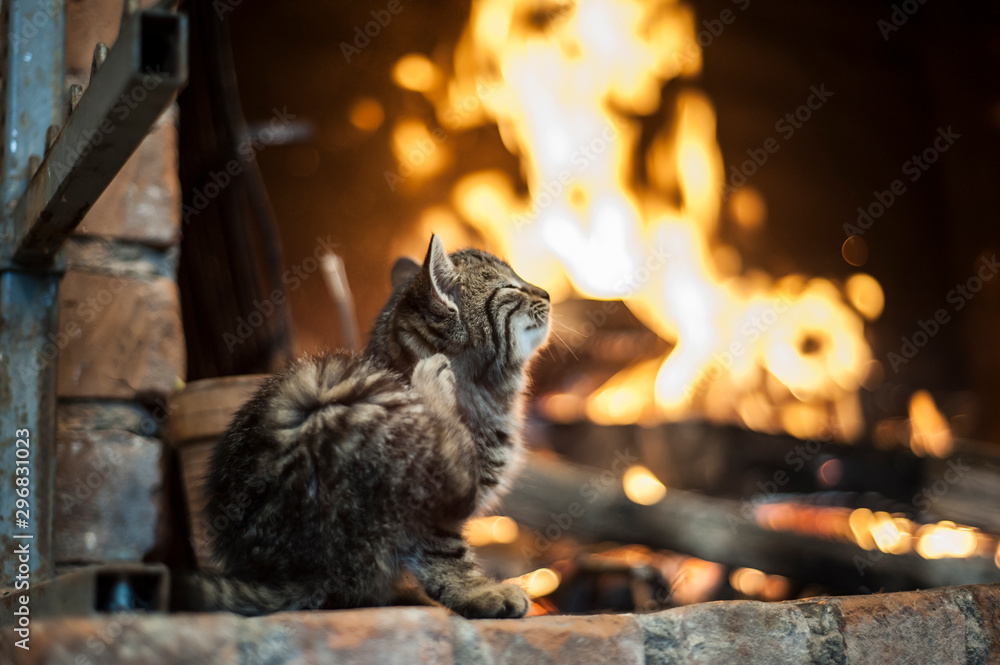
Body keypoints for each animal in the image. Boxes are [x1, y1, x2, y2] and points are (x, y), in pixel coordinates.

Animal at [193, 235, 556, 616]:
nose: (546, 293)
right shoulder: (432, 517)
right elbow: (445, 554)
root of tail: (295, 575)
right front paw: (476, 591)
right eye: (511, 287)